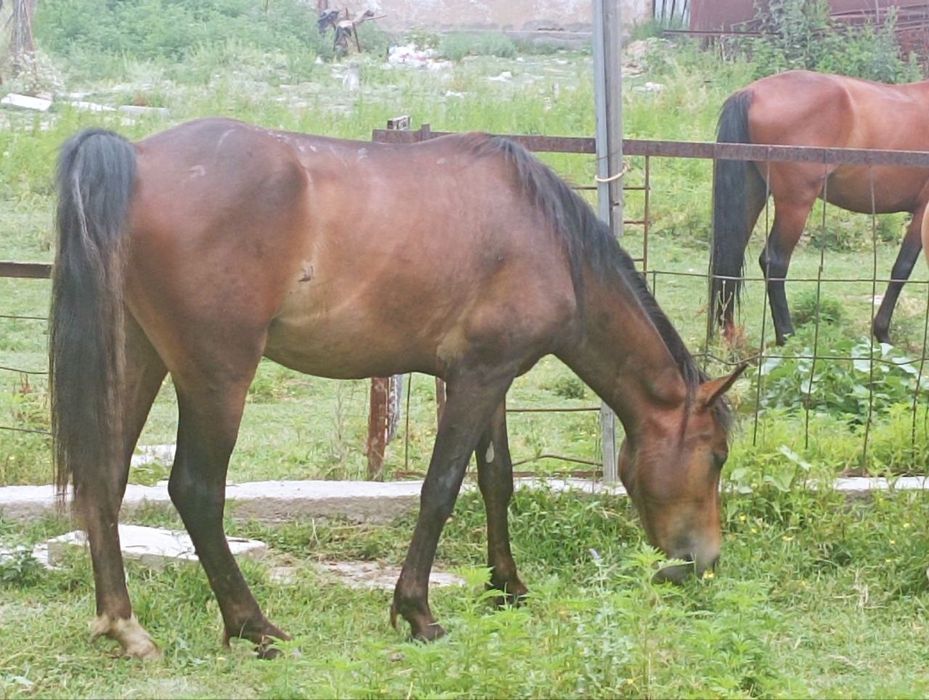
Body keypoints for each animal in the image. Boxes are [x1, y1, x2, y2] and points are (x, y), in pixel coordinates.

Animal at [51, 118, 744, 659]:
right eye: (716, 456)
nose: (705, 563)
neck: (546, 239)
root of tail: (137, 158)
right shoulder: (477, 379)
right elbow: (441, 490)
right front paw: (418, 612)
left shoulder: (489, 378)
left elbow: (497, 480)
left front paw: (507, 586)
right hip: (217, 374)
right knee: (195, 491)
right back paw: (254, 626)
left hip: (138, 358)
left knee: (104, 478)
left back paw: (124, 625)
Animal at [711, 69, 929, 346]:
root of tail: (750, 92)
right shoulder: (923, 211)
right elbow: (903, 268)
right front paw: (882, 333)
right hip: (795, 204)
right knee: (774, 261)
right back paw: (787, 337)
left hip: (752, 192)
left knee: (730, 258)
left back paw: (728, 337)